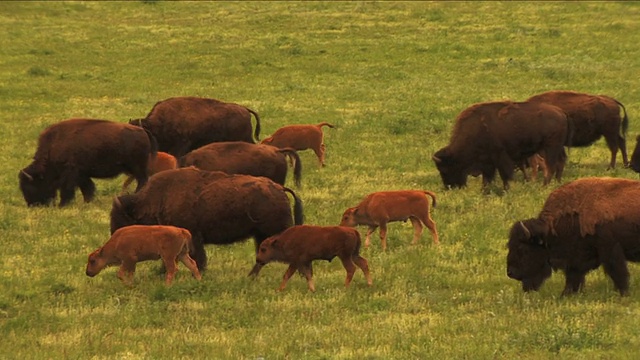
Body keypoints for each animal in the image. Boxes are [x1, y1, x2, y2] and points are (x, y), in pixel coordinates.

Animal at [18, 119, 158, 207]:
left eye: (31, 185)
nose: (32, 205)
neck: (53, 146)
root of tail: (142, 131)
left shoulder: (70, 174)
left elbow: (68, 189)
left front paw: (62, 205)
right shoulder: (82, 175)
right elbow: (87, 188)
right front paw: (87, 202)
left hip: (138, 168)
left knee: (142, 181)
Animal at [432, 100, 568, 191]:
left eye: (444, 169)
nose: (450, 187)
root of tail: (560, 113)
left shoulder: (500, 158)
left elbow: (504, 176)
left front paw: (506, 190)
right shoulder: (488, 163)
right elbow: (487, 179)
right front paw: (485, 191)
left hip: (550, 148)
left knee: (550, 166)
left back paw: (545, 186)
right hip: (556, 148)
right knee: (560, 162)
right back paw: (556, 182)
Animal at [510, 176, 640, 296]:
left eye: (522, 249)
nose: (510, 273)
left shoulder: (610, 249)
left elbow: (617, 272)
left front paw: (623, 293)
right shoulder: (576, 258)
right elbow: (573, 275)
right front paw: (566, 294)